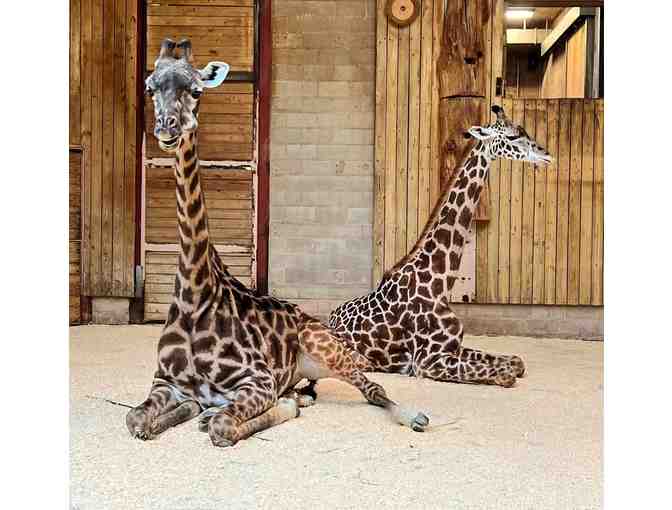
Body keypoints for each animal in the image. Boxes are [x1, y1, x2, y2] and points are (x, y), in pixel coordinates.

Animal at [125, 39, 429, 448]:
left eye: (196, 91)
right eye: (150, 88)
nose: (166, 128)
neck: (193, 297)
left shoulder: (259, 381)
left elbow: (222, 428)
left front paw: (218, 419)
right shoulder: (166, 381)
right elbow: (137, 419)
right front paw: (183, 415)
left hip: (327, 351)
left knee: (373, 390)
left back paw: (413, 416)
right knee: (308, 393)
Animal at [311, 105, 552, 392]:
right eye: (514, 136)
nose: (546, 155)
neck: (440, 281)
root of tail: (330, 316)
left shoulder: (453, 347)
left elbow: (516, 362)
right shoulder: (427, 361)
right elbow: (506, 374)